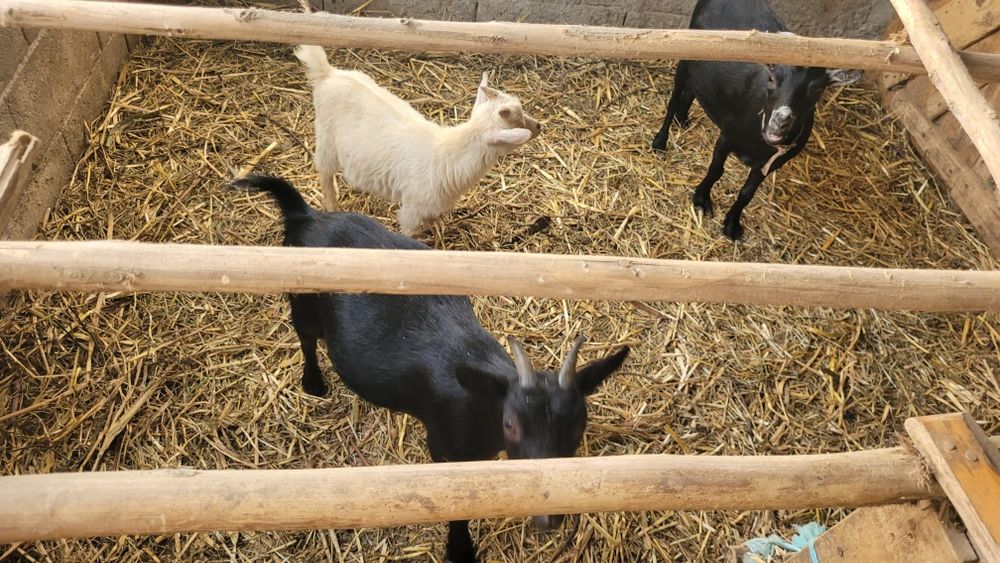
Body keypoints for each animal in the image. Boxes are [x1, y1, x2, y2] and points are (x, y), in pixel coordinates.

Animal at [231, 174, 628, 563]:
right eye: (510, 424)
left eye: (578, 423)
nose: (549, 517)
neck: (481, 401)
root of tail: (306, 215)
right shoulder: (445, 448)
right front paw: (460, 551)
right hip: (303, 302)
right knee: (306, 338)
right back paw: (314, 385)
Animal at [295, 46, 541, 236]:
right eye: (517, 121)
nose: (539, 126)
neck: (448, 154)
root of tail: (328, 73)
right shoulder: (412, 209)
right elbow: (411, 233)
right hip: (326, 137)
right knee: (325, 172)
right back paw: (332, 205)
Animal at [651, 0, 860, 240]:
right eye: (771, 79)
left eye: (817, 91)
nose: (780, 121)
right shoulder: (727, 137)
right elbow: (716, 171)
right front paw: (702, 200)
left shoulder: (770, 163)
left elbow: (747, 193)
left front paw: (732, 224)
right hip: (687, 58)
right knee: (674, 99)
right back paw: (660, 141)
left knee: (691, 91)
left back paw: (682, 118)